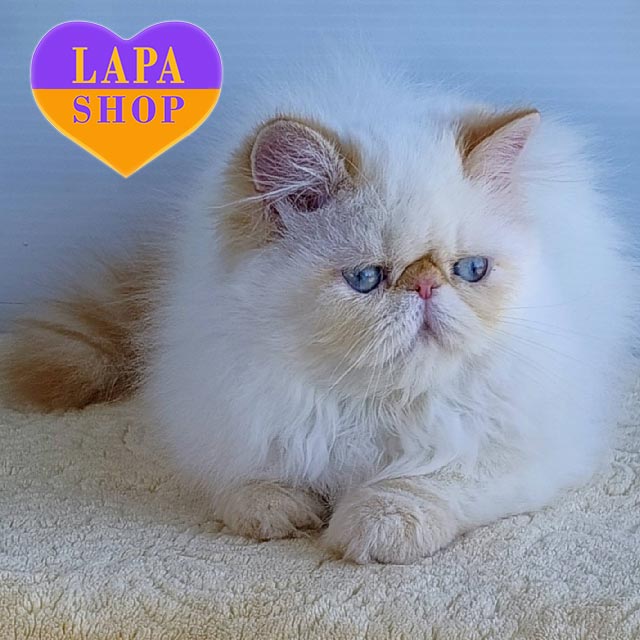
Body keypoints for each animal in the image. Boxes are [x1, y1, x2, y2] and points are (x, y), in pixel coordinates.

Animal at [3, 59, 637, 564]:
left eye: (471, 270)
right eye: (366, 279)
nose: (426, 286)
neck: (373, 406)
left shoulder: (524, 447)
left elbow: (428, 481)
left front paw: (373, 528)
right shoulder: (225, 406)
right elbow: (248, 477)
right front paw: (279, 511)